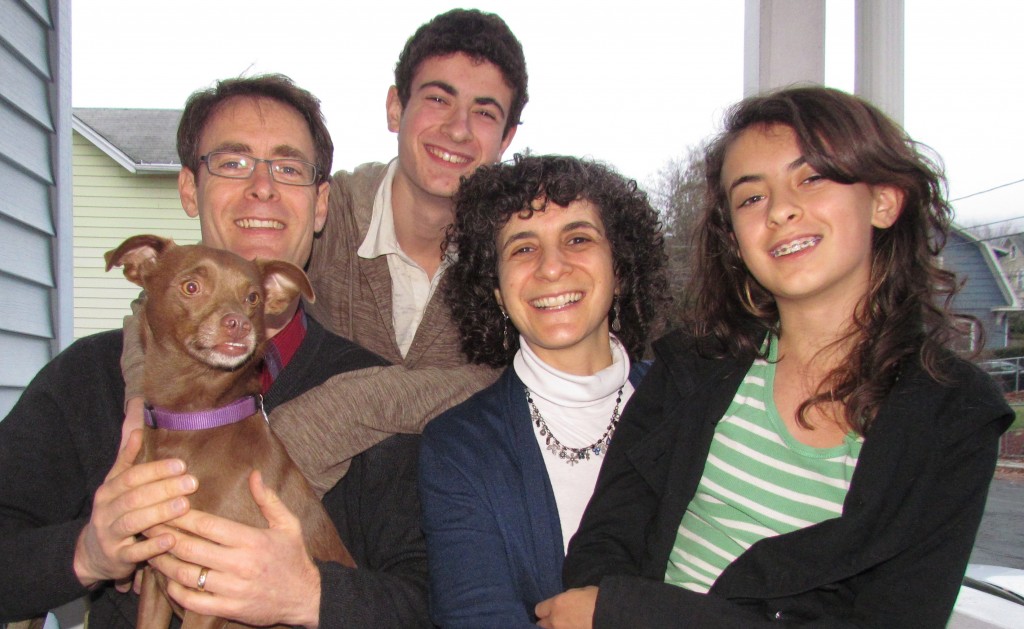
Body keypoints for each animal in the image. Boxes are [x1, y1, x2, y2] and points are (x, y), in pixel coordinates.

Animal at [103, 236, 352, 629]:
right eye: (191, 287)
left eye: (253, 298)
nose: (238, 324)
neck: (195, 419)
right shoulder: (157, 581)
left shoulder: (209, 597)